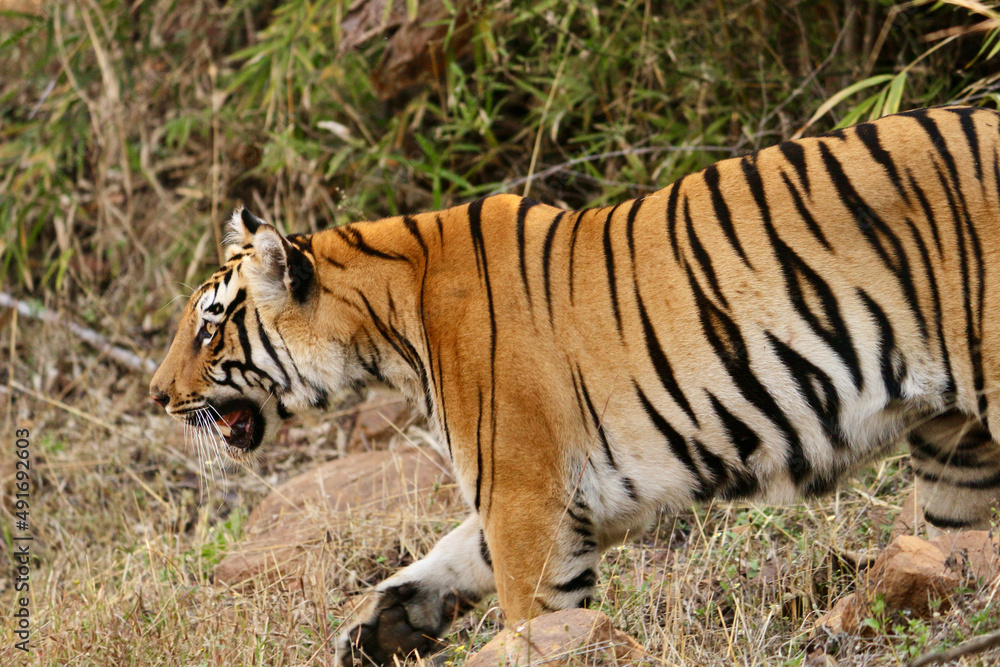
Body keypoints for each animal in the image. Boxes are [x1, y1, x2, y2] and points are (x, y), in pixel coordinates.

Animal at [150, 105, 1000, 665]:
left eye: (210, 327)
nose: (156, 396)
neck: (389, 314)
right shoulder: (557, 496)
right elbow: (450, 552)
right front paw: (380, 623)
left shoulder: (528, 498)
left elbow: (528, 609)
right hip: (955, 449)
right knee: (958, 544)